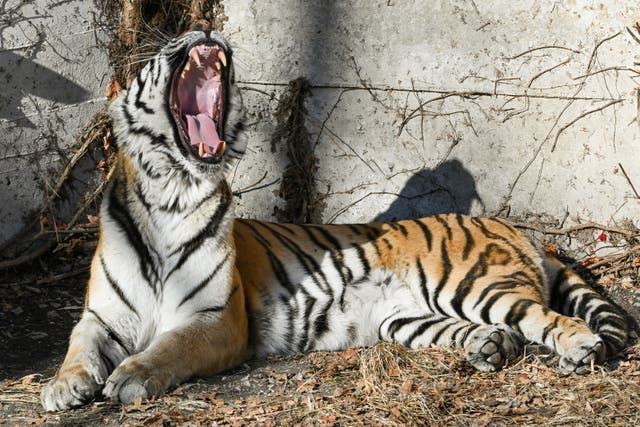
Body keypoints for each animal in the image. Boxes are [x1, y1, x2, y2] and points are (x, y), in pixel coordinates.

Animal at [41, 25, 632, 412]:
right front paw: (62, 387)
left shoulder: (215, 318)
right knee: (496, 331)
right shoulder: (101, 316)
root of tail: (514, 228)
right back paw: (490, 347)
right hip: (405, 317)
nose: (202, 24)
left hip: (476, 285)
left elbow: (168, 347)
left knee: (544, 317)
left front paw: (129, 377)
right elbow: (76, 348)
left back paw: (578, 348)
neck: (172, 191)